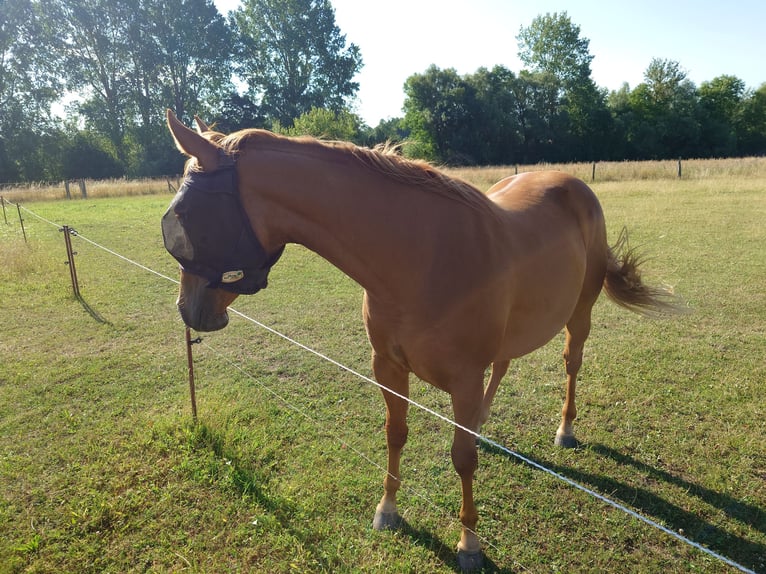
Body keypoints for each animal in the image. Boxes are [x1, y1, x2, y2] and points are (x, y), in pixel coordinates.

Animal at [162, 110, 678, 570]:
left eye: (181, 214)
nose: (187, 309)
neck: (419, 258)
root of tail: (574, 185)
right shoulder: (388, 367)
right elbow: (396, 434)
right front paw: (387, 510)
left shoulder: (465, 379)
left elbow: (462, 458)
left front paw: (469, 543)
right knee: (505, 363)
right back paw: (484, 421)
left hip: (579, 314)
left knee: (571, 362)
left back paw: (565, 429)